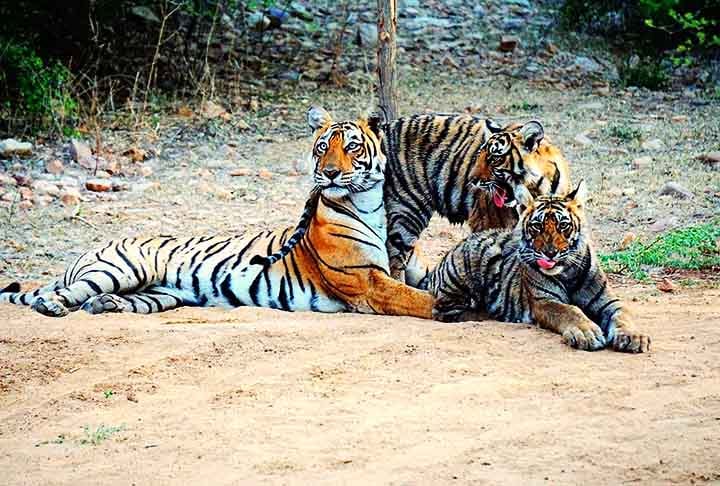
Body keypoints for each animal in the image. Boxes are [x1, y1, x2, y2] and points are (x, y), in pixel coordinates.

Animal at [0, 106, 434, 319]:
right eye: (323, 147)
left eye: (353, 147)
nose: (328, 173)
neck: (372, 205)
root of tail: (86, 253)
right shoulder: (366, 282)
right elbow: (415, 298)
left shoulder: (406, 269)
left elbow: (425, 282)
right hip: (120, 268)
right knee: (63, 293)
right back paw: (54, 306)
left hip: (158, 294)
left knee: (108, 300)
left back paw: (106, 306)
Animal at [381, 114, 571, 286]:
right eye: (479, 155)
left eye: (495, 158)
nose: (472, 180)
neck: (536, 188)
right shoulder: (490, 222)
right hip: (407, 210)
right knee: (395, 258)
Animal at [423, 180, 651, 353]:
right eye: (537, 226)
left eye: (563, 225)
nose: (550, 253)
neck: (568, 273)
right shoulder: (545, 301)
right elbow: (570, 311)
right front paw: (587, 333)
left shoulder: (607, 301)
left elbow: (623, 315)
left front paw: (634, 336)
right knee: (448, 312)